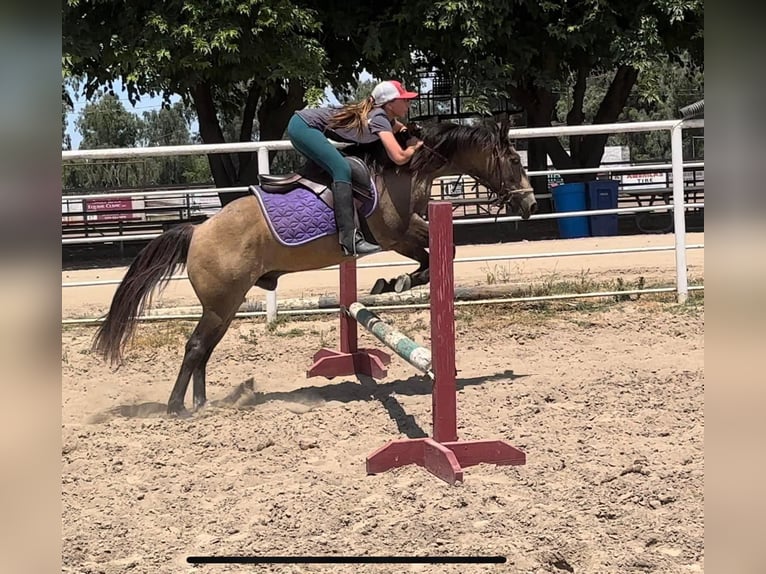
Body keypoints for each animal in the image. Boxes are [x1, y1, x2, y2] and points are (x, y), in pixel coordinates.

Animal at [93, 120, 536, 414]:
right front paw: (395, 282)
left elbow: (434, 256)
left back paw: (202, 403)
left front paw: (390, 282)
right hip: (221, 304)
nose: (530, 203)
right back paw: (176, 408)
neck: (403, 169)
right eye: (516, 161)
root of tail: (197, 231)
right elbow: (437, 254)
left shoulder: (406, 233)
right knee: (196, 347)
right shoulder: (396, 234)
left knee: (204, 349)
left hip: (224, 307)